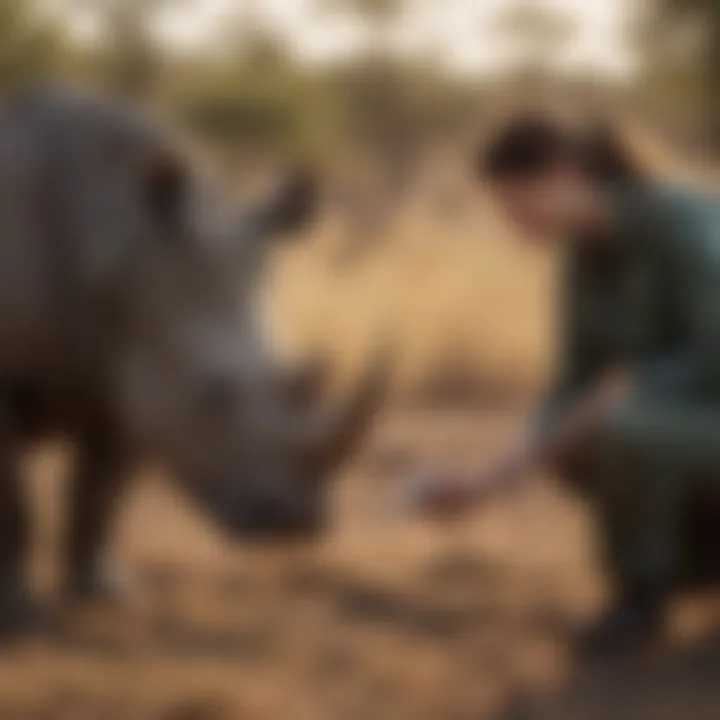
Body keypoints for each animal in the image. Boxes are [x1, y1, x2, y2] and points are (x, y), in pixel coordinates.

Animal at [0, 87, 386, 632]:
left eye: (296, 379)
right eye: (213, 393)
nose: (294, 523)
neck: (125, 250)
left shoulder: (129, 374)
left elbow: (102, 492)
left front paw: (107, 593)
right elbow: (14, 504)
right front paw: (19, 608)